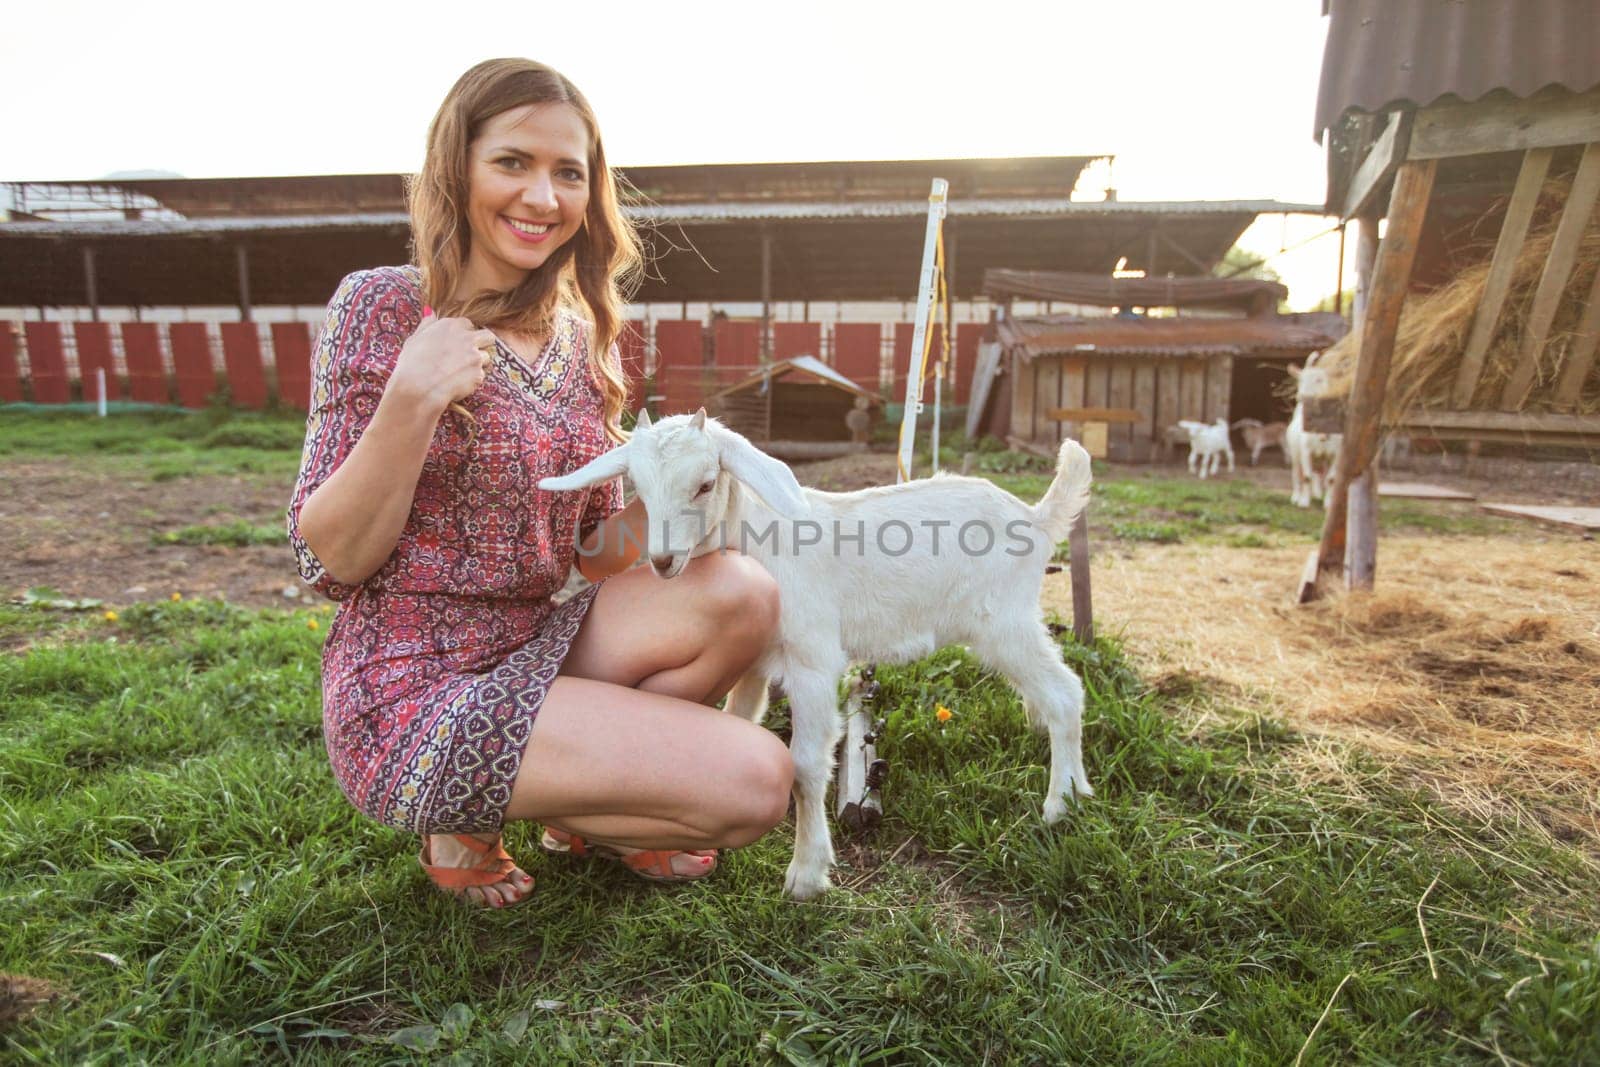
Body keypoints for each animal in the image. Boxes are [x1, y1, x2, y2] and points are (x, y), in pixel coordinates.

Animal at [1280, 355, 1344, 508]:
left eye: (1319, 379)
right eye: (1300, 379)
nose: (1302, 396)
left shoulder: (1336, 453)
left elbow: (1331, 479)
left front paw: (1328, 503)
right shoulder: (1305, 451)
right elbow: (1306, 476)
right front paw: (1303, 502)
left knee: (1318, 473)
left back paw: (1317, 494)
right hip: (1295, 454)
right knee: (1297, 473)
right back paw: (1296, 496)